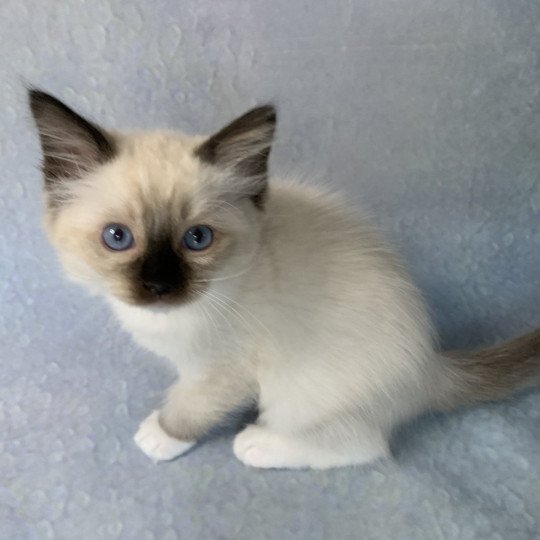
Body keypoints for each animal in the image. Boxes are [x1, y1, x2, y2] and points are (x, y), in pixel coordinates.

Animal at [30, 88, 540, 468]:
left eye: (197, 239)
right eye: (118, 238)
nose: (159, 287)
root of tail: (430, 363)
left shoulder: (224, 372)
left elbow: (189, 407)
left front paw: (161, 436)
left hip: (299, 394)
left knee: (364, 447)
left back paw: (258, 443)